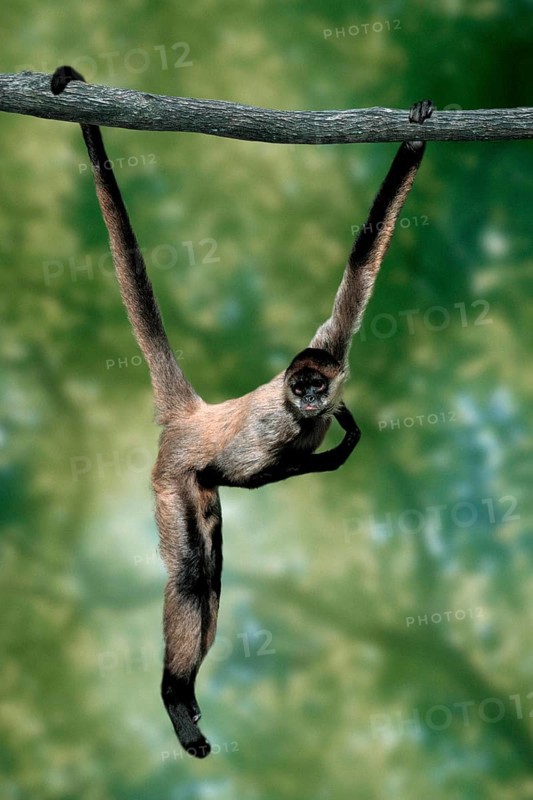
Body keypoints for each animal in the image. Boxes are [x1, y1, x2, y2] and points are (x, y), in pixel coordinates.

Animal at [51, 66, 432, 758]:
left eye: (315, 384)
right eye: (298, 389)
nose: (311, 399)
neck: (300, 413)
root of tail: (195, 412)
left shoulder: (330, 346)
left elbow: (363, 262)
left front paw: (415, 138)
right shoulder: (271, 423)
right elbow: (244, 472)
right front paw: (342, 445)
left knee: (214, 575)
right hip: (175, 476)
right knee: (194, 574)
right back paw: (175, 696)